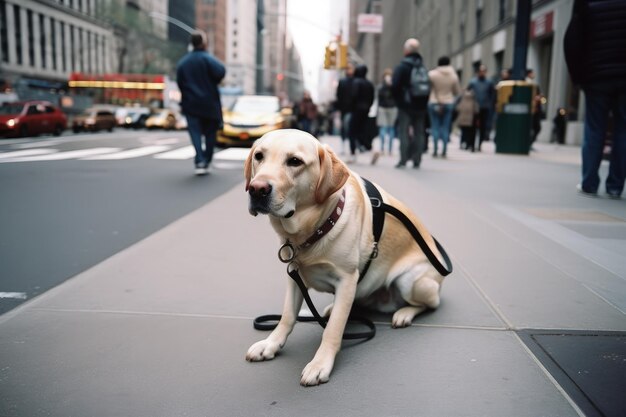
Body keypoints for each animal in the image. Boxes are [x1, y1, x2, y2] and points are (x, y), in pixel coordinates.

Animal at [243, 129, 444, 384]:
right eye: (259, 156)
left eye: (295, 161)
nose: (257, 189)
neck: (312, 230)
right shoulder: (293, 276)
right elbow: (288, 316)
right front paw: (271, 344)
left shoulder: (347, 279)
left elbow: (333, 330)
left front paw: (320, 363)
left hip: (412, 281)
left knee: (431, 303)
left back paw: (404, 313)